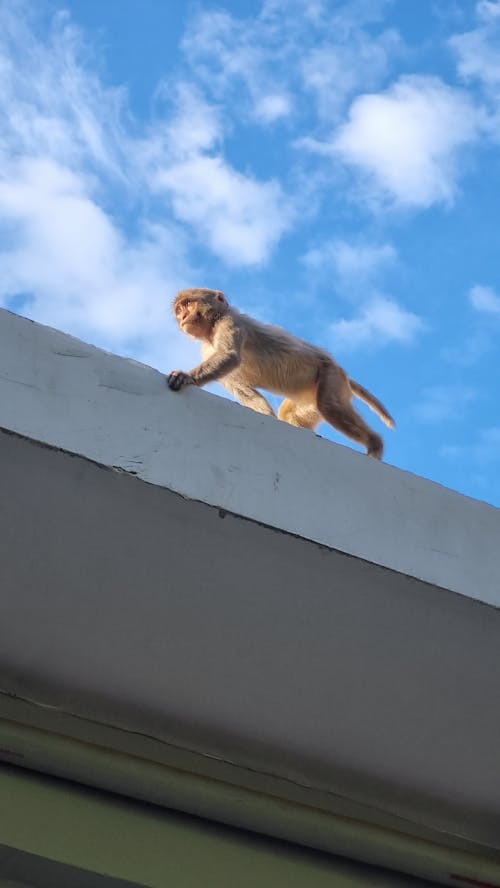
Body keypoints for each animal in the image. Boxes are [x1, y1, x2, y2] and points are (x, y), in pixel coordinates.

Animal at [168, 290, 394, 458]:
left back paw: (375, 445)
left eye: (189, 304)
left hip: (330, 376)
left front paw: (186, 377)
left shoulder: (229, 323)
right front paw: (267, 416)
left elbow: (229, 356)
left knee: (329, 406)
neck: (211, 329)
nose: (182, 317)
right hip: (310, 395)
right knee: (293, 413)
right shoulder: (207, 349)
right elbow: (245, 391)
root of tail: (340, 370)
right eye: (179, 309)